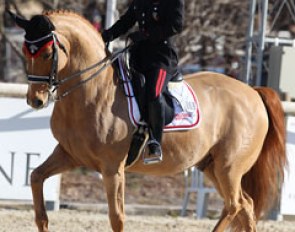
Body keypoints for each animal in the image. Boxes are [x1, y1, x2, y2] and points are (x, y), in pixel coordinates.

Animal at [11, 10, 286, 232]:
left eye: (48, 53)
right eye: (25, 51)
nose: (35, 100)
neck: (93, 91)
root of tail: (253, 92)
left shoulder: (113, 168)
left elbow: (116, 217)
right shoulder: (69, 155)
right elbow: (35, 178)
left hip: (229, 167)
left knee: (235, 205)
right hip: (211, 166)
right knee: (245, 206)